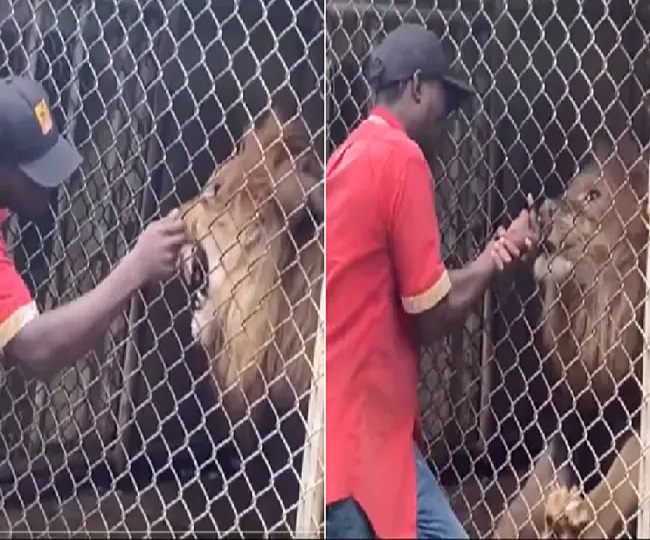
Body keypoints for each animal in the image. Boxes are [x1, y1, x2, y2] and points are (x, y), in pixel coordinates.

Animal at [494, 133, 644, 536]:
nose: (544, 209)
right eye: (570, 190)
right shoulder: (575, 414)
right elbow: (523, 505)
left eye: (594, 196)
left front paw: (576, 521)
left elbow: (616, 489)